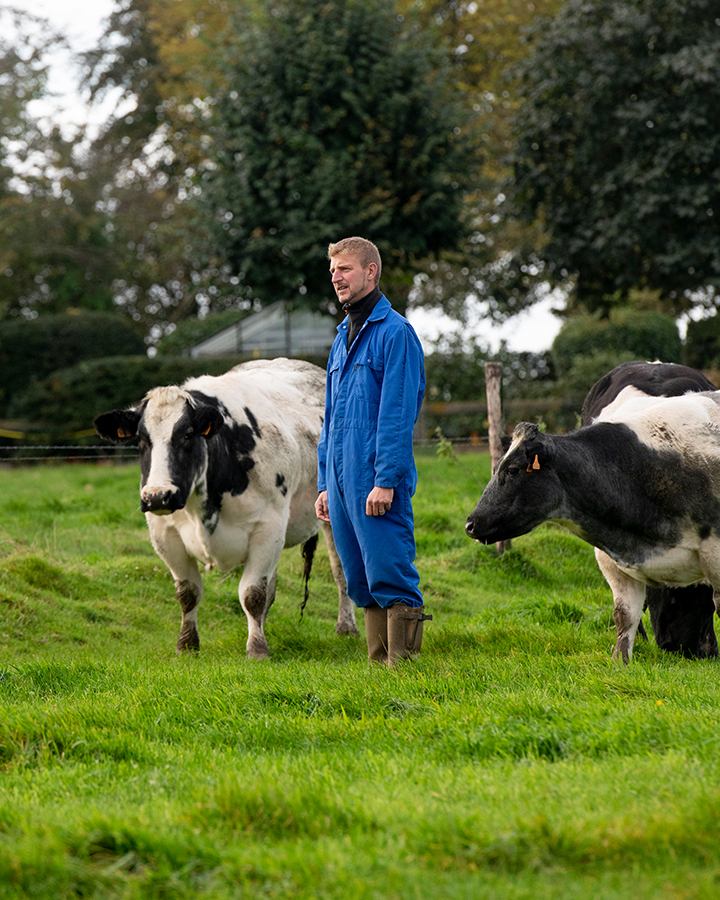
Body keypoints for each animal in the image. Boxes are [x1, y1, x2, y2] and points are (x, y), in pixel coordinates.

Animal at [93, 356, 358, 656]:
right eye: (140, 439)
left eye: (188, 434)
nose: (158, 496)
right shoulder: (163, 533)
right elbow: (189, 592)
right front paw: (187, 644)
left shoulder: (268, 527)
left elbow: (253, 593)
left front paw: (257, 649)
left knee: (340, 571)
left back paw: (346, 627)